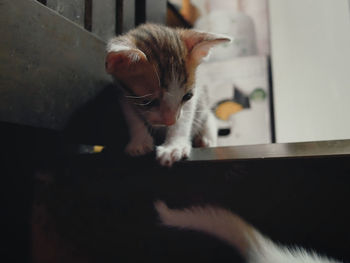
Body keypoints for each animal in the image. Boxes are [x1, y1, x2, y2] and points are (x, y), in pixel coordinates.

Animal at [105, 23, 231, 166]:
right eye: (148, 102)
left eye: (187, 96)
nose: (171, 121)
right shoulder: (122, 94)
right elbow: (132, 117)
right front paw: (139, 142)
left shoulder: (192, 100)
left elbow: (185, 118)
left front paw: (174, 146)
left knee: (208, 117)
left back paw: (206, 138)